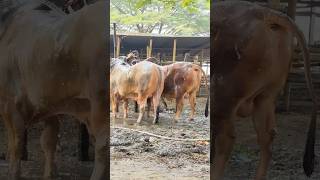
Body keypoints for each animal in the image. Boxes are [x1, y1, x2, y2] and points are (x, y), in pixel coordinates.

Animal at [0, 0, 108, 179]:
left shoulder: (10, 102)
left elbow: (16, 143)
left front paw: (13, 173)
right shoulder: (48, 103)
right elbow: (48, 141)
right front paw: (50, 174)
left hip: (101, 101)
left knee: (102, 145)